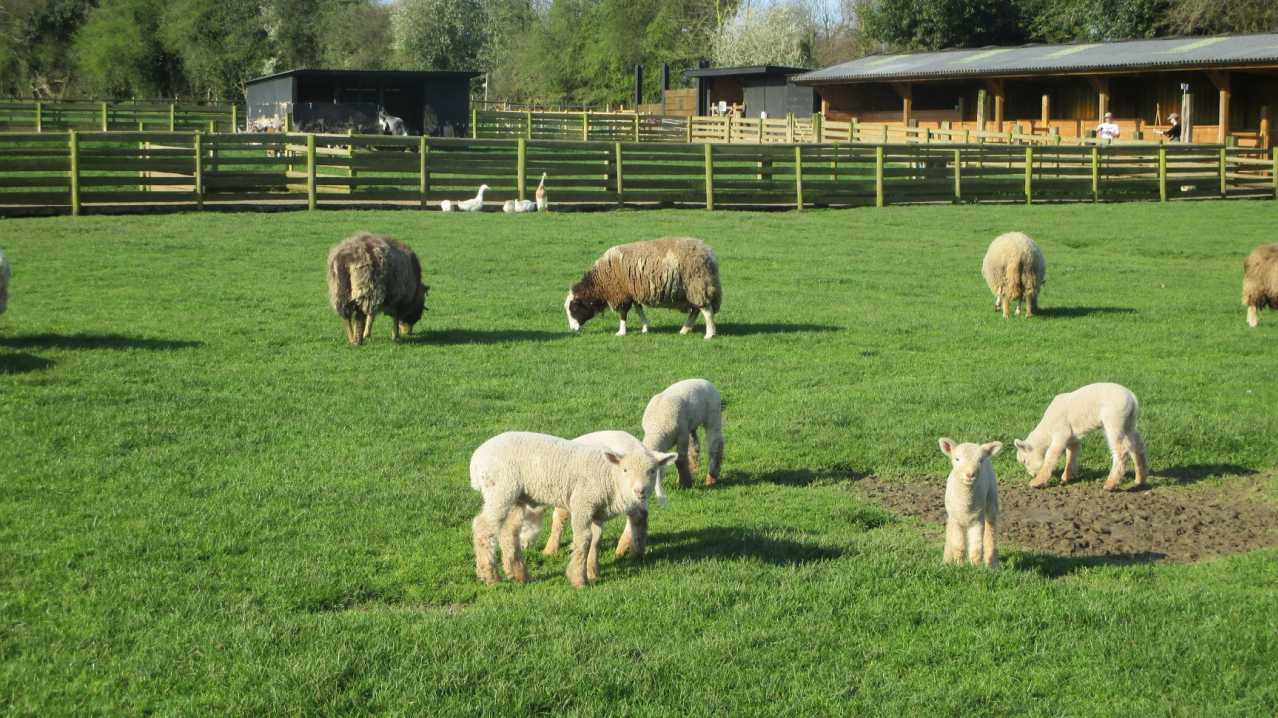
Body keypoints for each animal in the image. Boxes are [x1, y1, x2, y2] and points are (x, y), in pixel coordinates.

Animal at [522, 430, 665, 560]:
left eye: (523, 524)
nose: (523, 548)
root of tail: (642, 447)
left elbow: (559, 517)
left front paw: (549, 551)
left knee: (638, 516)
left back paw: (621, 550)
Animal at [565, 237, 722, 338]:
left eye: (574, 308)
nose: (572, 330)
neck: (601, 281)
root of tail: (709, 253)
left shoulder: (621, 294)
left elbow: (623, 314)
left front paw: (621, 332)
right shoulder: (632, 293)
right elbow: (639, 311)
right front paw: (646, 328)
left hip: (697, 284)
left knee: (706, 310)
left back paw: (709, 334)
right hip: (692, 290)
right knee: (695, 310)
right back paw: (684, 330)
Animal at [938, 437, 1001, 567]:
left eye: (980, 460)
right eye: (957, 459)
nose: (970, 474)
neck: (966, 505)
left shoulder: (977, 520)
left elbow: (976, 548)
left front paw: (975, 567)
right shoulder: (955, 519)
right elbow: (958, 546)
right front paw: (959, 565)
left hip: (992, 500)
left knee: (991, 530)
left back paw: (991, 563)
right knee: (949, 532)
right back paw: (946, 559)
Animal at [1014, 382, 1148, 491]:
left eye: (1025, 461)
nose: (1032, 474)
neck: (1047, 428)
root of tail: (1132, 398)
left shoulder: (1061, 432)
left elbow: (1051, 455)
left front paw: (1037, 481)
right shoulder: (1071, 437)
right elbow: (1071, 454)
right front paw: (1066, 477)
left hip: (1114, 420)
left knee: (1121, 450)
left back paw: (1110, 484)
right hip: (1129, 422)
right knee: (1136, 446)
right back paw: (1140, 479)